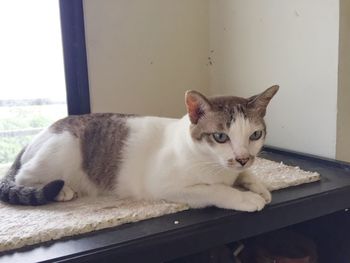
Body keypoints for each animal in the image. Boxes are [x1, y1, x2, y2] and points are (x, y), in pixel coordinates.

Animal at [0, 85, 278, 213]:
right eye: (220, 137)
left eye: (255, 135)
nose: (242, 158)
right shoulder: (165, 184)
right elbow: (217, 190)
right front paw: (245, 197)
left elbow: (246, 175)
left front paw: (259, 187)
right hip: (63, 150)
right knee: (25, 176)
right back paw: (62, 191)